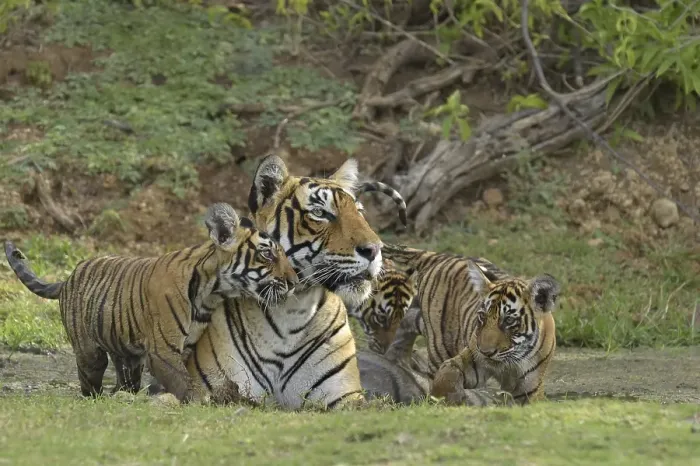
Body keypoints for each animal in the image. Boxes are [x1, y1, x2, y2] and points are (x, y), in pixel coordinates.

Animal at [3, 202, 298, 403]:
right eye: (267, 255)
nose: (294, 281)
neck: (212, 292)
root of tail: (67, 279)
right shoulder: (162, 350)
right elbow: (184, 382)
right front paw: (198, 400)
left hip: (125, 353)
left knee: (125, 380)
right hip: (90, 352)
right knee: (89, 381)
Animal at [380, 244, 560, 405]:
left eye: (508, 320)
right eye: (482, 316)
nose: (486, 352)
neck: (509, 364)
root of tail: (438, 255)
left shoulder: (529, 389)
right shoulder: (467, 361)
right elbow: (446, 376)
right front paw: (449, 399)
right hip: (440, 345)